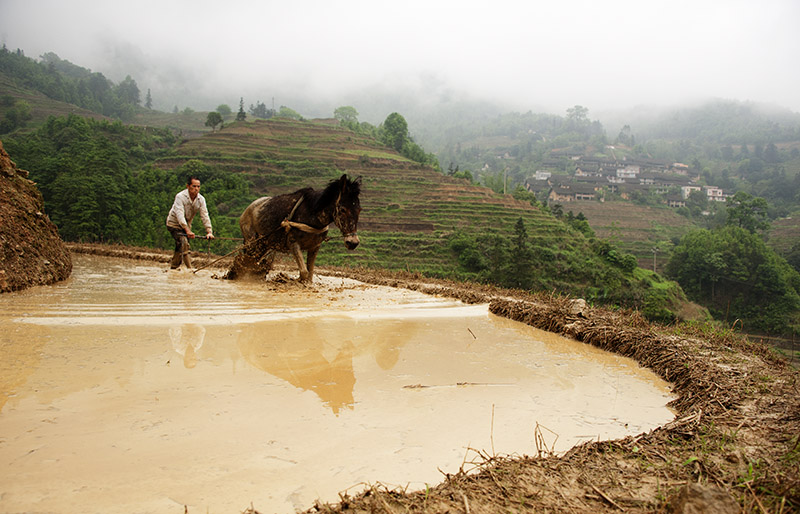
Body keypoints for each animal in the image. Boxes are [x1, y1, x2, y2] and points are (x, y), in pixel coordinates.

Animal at [227, 174, 360, 282]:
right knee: (245, 262)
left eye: (359, 209)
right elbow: (304, 272)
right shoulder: (293, 243)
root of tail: (246, 211)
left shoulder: (315, 247)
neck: (312, 215)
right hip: (251, 243)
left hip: (263, 245)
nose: (353, 242)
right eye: (342, 210)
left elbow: (310, 274)